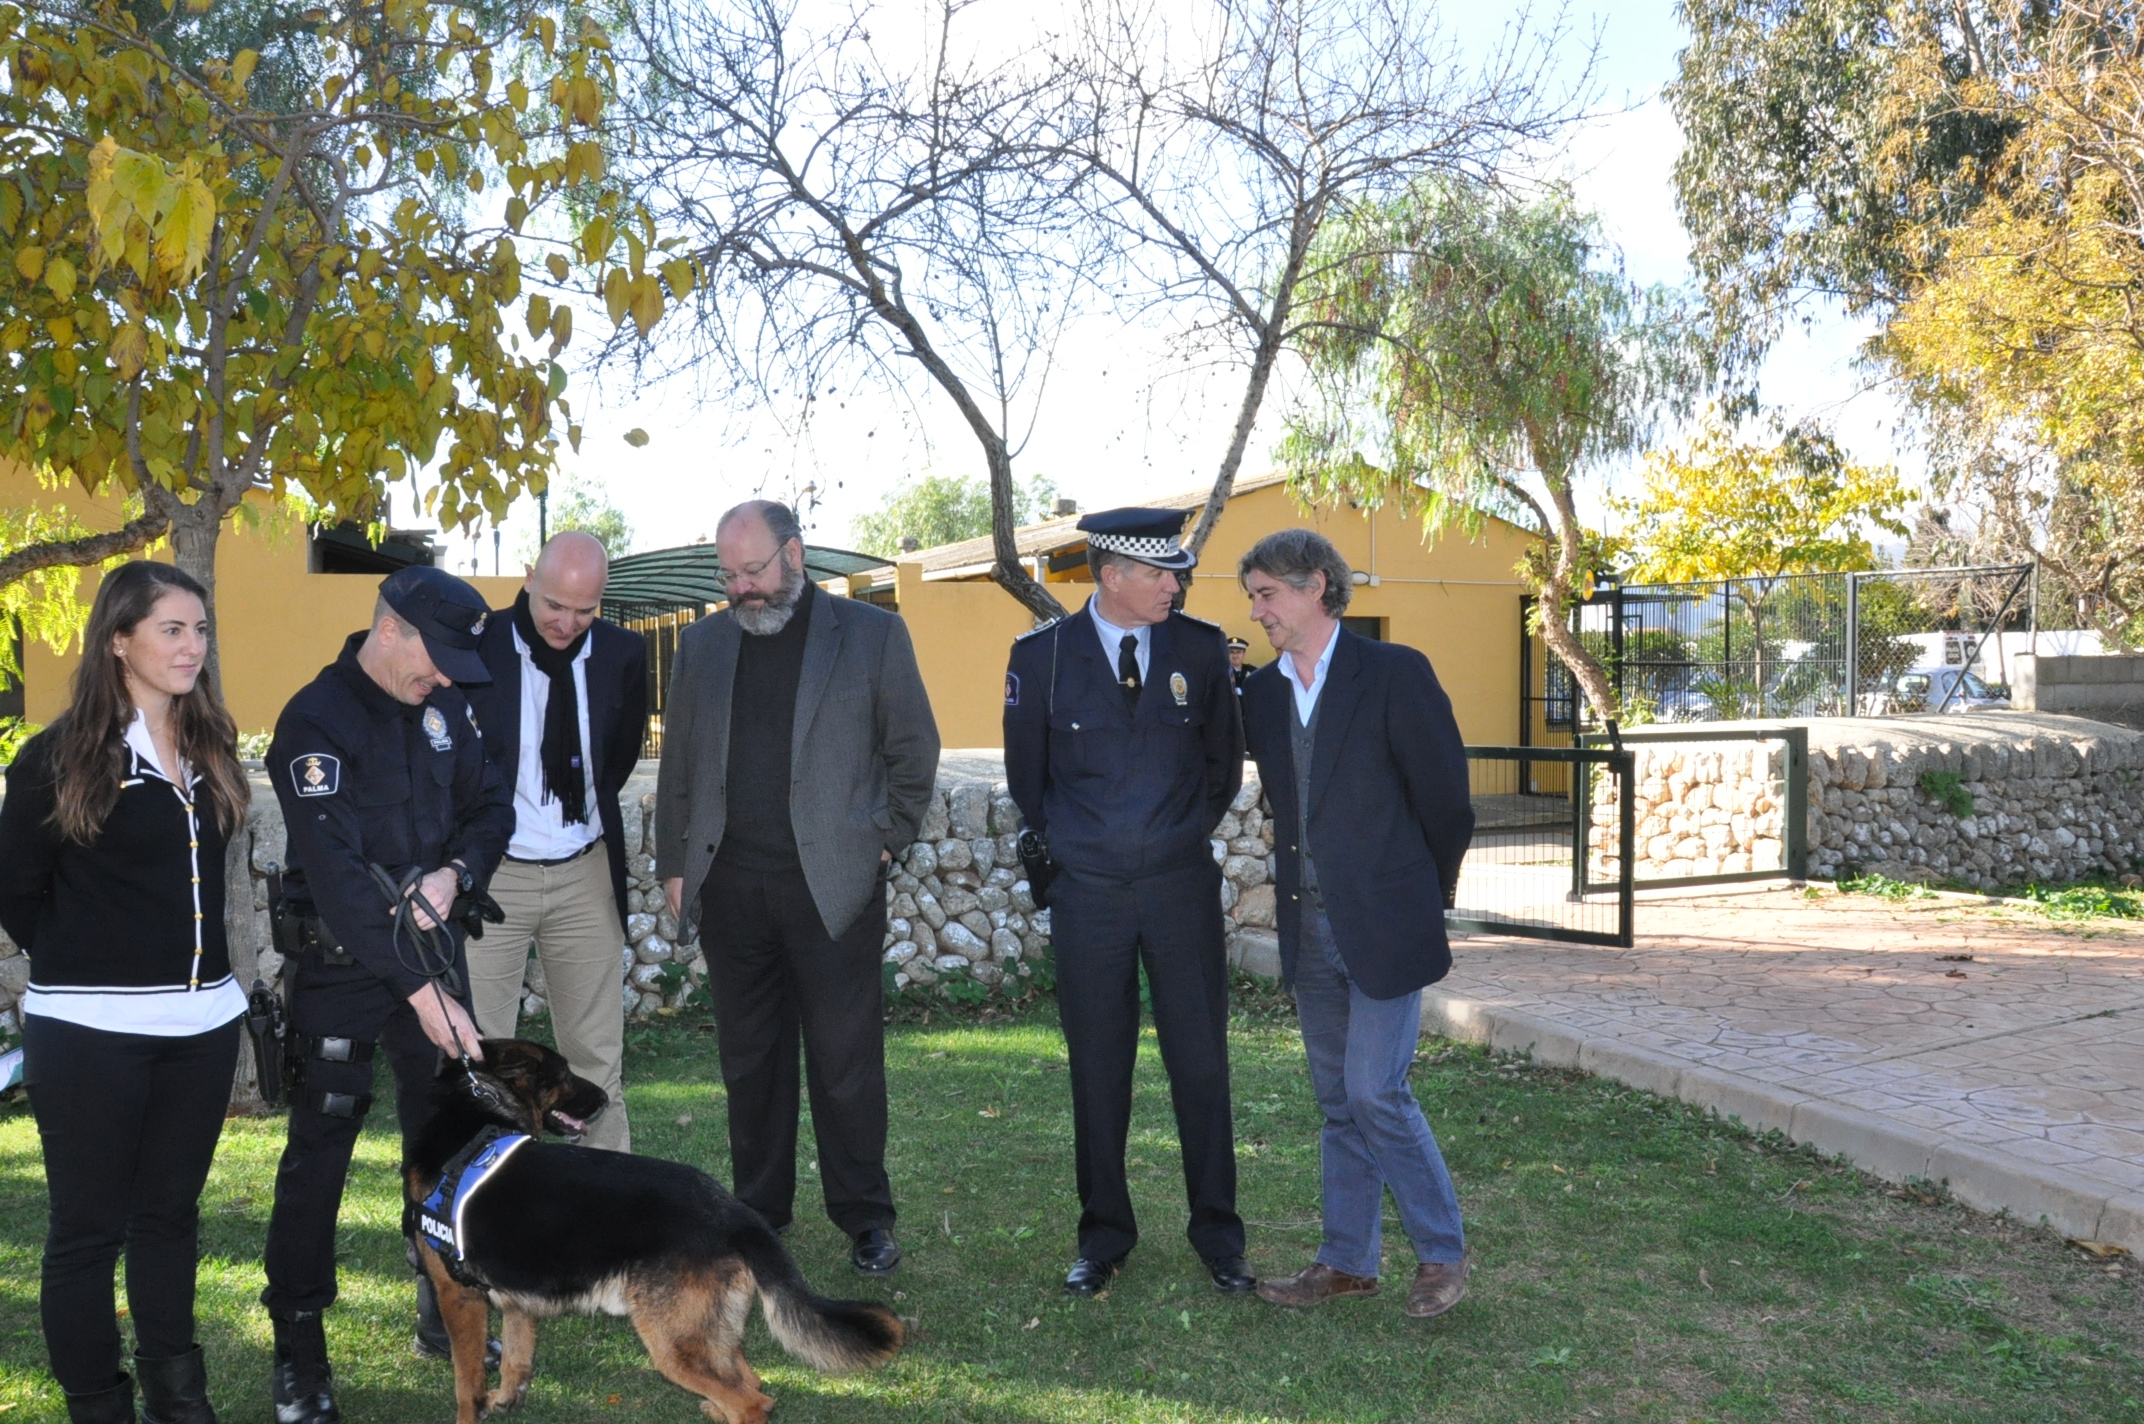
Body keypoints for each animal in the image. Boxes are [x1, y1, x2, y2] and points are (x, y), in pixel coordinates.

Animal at [405, 1033, 900, 1423]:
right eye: (563, 1074)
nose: (604, 1098)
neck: (478, 1113)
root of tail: (730, 1209)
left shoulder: (458, 1296)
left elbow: (466, 1383)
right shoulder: (514, 1299)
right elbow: (515, 1357)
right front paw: (508, 1400)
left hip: (670, 1343)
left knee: (752, 1403)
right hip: (704, 1333)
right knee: (753, 1382)